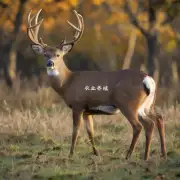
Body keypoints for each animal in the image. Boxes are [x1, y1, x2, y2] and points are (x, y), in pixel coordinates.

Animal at [26, 8, 166, 160]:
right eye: (45, 54)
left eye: (58, 55)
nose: (50, 63)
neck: (68, 83)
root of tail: (148, 79)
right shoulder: (88, 111)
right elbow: (90, 132)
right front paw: (96, 153)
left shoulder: (78, 105)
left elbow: (75, 131)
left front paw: (71, 154)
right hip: (147, 105)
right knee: (157, 119)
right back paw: (157, 154)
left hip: (127, 103)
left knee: (139, 126)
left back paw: (130, 155)